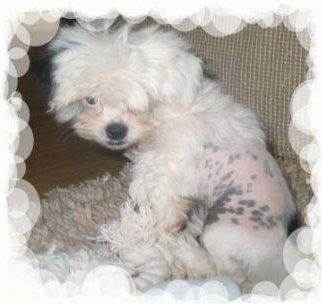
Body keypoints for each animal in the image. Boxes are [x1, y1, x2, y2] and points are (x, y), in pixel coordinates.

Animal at [37, 20, 300, 290]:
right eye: (91, 100)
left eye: (143, 101)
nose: (115, 130)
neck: (159, 120)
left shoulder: (170, 170)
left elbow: (160, 203)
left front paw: (154, 231)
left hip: (223, 227)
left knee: (222, 269)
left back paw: (184, 250)